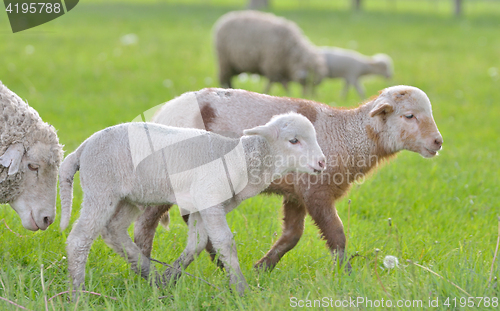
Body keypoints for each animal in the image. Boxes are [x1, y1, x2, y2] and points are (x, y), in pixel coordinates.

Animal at [59, 112, 324, 294]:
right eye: (293, 140)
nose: (322, 162)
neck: (244, 160)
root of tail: (83, 147)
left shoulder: (201, 203)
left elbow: (196, 244)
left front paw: (169, 279)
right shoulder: (210, 198)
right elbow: (225, 242)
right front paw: (241, 289)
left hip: (128, 197)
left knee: (113, 231)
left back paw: (150, 275)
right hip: (101, 188)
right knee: (79, 239)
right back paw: (77, 293)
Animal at [132, 85, 442, 272]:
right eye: (409, 116)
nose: (438, 142)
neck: (348, 136)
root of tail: (163, 112)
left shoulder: (297, 193)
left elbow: (292, 235)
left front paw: (263, 268)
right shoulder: (316, 191)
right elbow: (337, 234)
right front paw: (347, 274)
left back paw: (215, 260)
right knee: (145, 223)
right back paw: (143, 266)